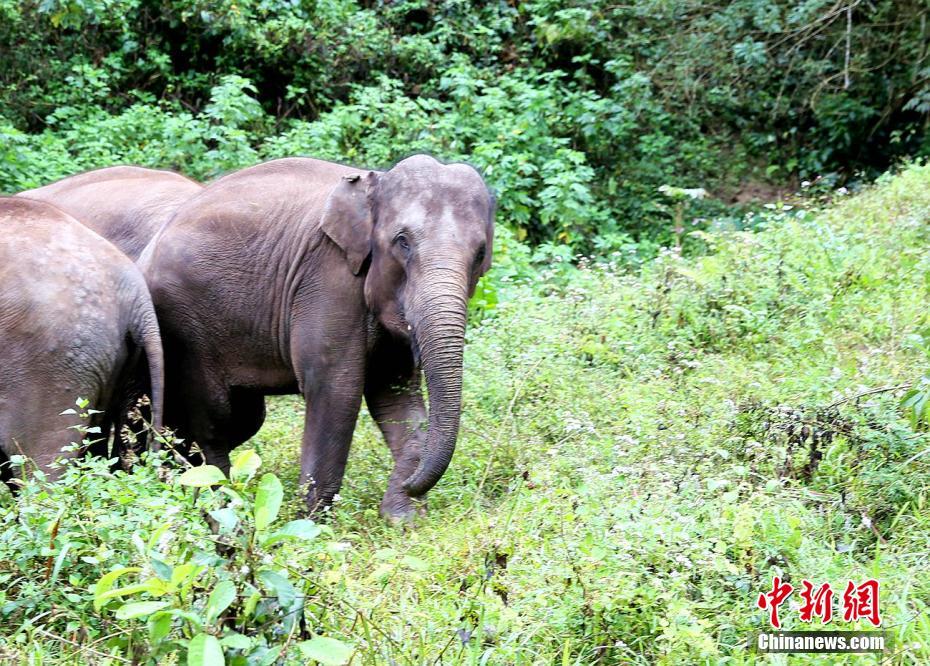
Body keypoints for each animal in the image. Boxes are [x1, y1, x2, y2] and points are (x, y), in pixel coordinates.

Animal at [143, 156, 492, 520]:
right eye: (403, 241)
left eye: (480, 254)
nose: (414, 484)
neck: (374, 184)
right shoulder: (328, 279)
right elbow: (337, 390)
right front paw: (311, 520)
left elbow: (397, 395)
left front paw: (402, 518)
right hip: (185, 325)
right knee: (214, 419)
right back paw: (217, 500)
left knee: (244, 417)